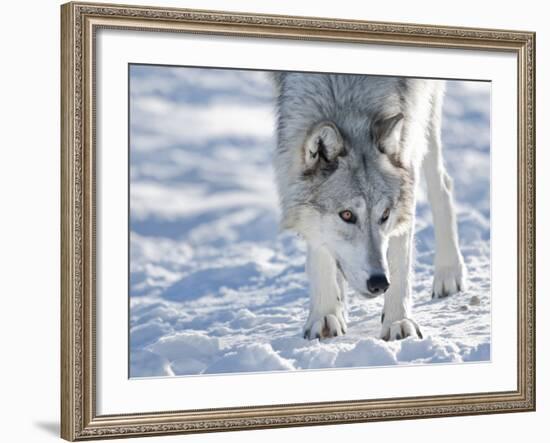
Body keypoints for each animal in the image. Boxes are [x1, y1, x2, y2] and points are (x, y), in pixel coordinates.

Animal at [274, 72, 468, 344]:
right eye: (347, 215)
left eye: (384, 215)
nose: (379, 283)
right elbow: (319, 246)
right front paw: (325, 314)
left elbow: (400, 256)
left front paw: (398, 322)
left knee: (442, 185)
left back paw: (448, 272)